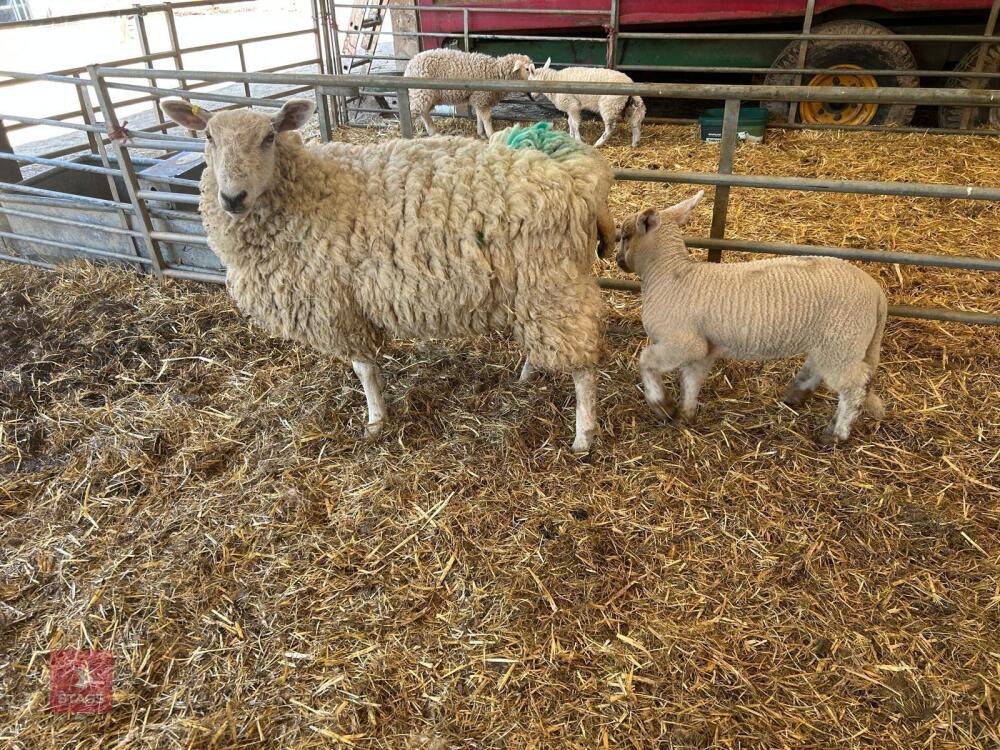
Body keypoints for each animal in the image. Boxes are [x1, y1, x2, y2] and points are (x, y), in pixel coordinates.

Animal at [160, 99, 615, 453]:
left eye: (269, 137)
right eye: (207, 137)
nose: (232, 198)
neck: (310, 190)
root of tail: (576, 173)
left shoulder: (338, 305)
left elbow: (363, 369)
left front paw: (375, 420)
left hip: (552, 280)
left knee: (584, 365)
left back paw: (583, 434)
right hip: (532, 286)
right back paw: (527, 374)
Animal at [403, 49, 533, 138]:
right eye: (527, 69)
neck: (496, 72)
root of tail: (410, 65)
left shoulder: (478, 99)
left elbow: (479, 116)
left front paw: (481, 133)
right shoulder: (482, 98)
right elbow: (487, 118)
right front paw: (491, 134)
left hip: (426, 95)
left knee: (424, 112)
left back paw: (433, 131)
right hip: (420, 93)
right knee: (413, 112)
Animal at [615, 191, 887, 446]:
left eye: (625, 236)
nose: (617, 261)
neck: (669, 273)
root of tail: (877, 294)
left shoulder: (683, 342)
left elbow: (646, 361)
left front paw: (662, 406)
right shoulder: (703, 348)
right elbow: (691, 381)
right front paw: (684, 415)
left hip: (842, 339)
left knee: (854, 386)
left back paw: (836, 434)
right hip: (833, 342)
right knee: (820, 367)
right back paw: (795, 395)